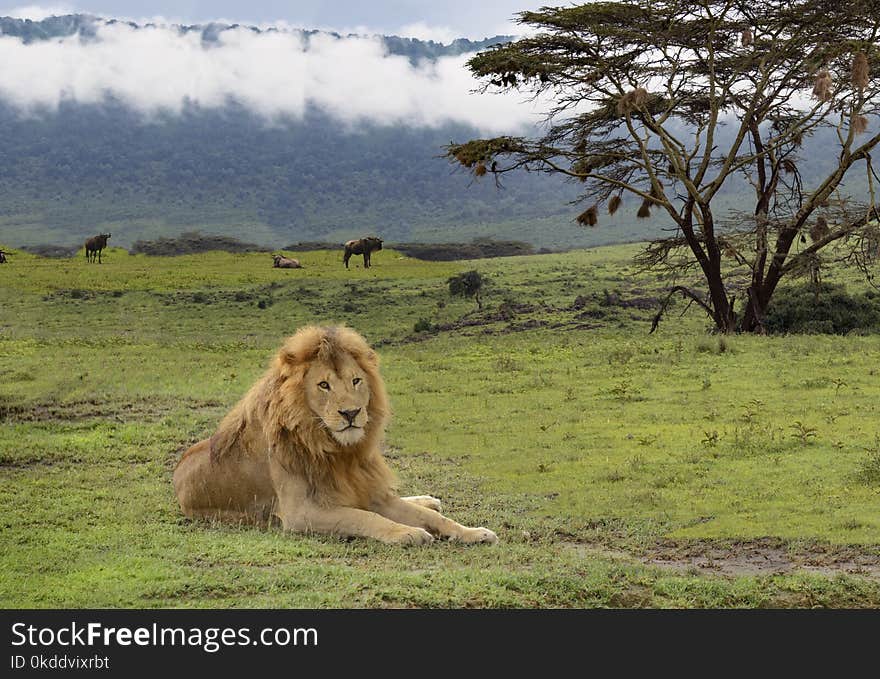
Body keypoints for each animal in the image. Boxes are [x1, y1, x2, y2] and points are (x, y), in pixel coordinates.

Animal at [175, 326, 498, 548]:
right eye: (323, 385)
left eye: (356, 381)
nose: (351, 413)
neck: (338, 451)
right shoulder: (300, 513)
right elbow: (363, 516)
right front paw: (407, 532)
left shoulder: (367, 490)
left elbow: (433, 519)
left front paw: (474, 532)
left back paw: (428, 500)